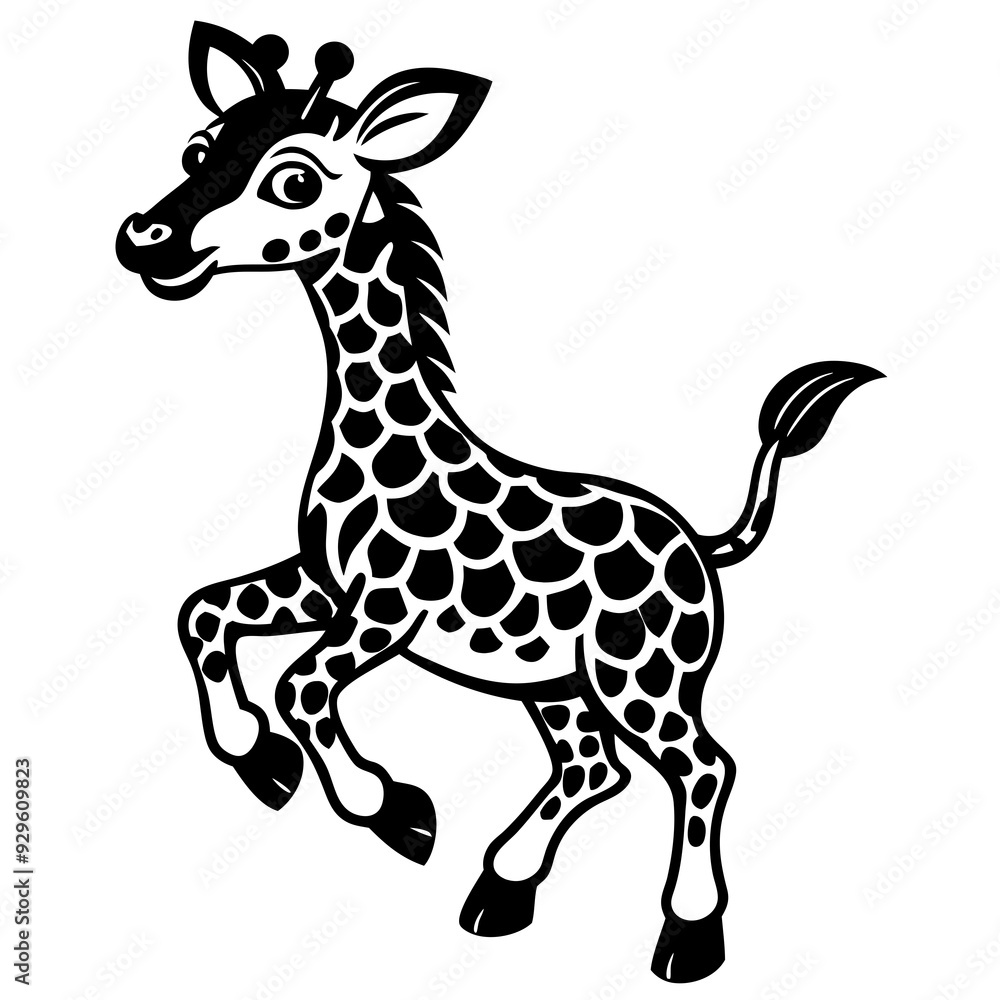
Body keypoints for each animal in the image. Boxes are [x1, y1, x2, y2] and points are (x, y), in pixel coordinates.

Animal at [115, 23, 883, 983]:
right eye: (197, 150)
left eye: (295, 181)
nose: (146, 239)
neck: (379, 441)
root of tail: (703, 544)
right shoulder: (323, 586)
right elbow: (203, 613)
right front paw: (264, 762)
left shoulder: (386, 609)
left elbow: (302, 685)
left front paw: (393, 807)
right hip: (558, 683)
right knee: (597, 768)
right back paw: (500, 891)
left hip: (644, 676)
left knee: (703, 767)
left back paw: (687, 937)